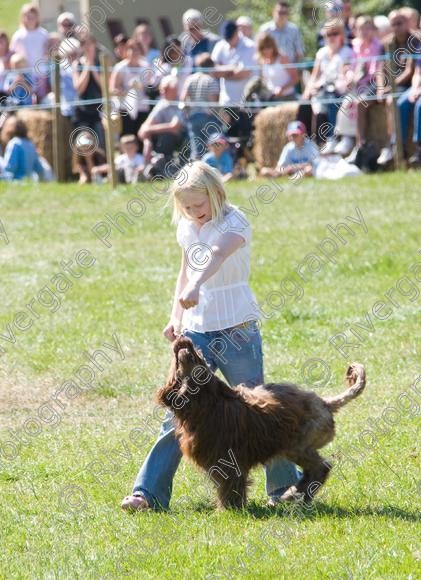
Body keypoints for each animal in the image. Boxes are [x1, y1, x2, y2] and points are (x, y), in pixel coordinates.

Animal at [156, 336, 366, 508]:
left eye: (197, 358)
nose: (184, 341)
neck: (207, 403)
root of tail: (325, 403)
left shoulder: (229, 460)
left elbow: (230, 485)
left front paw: (230, 509)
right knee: (315, 470)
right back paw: (294, 494)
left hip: (297, 445)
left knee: (321, 468)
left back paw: (293, 495)